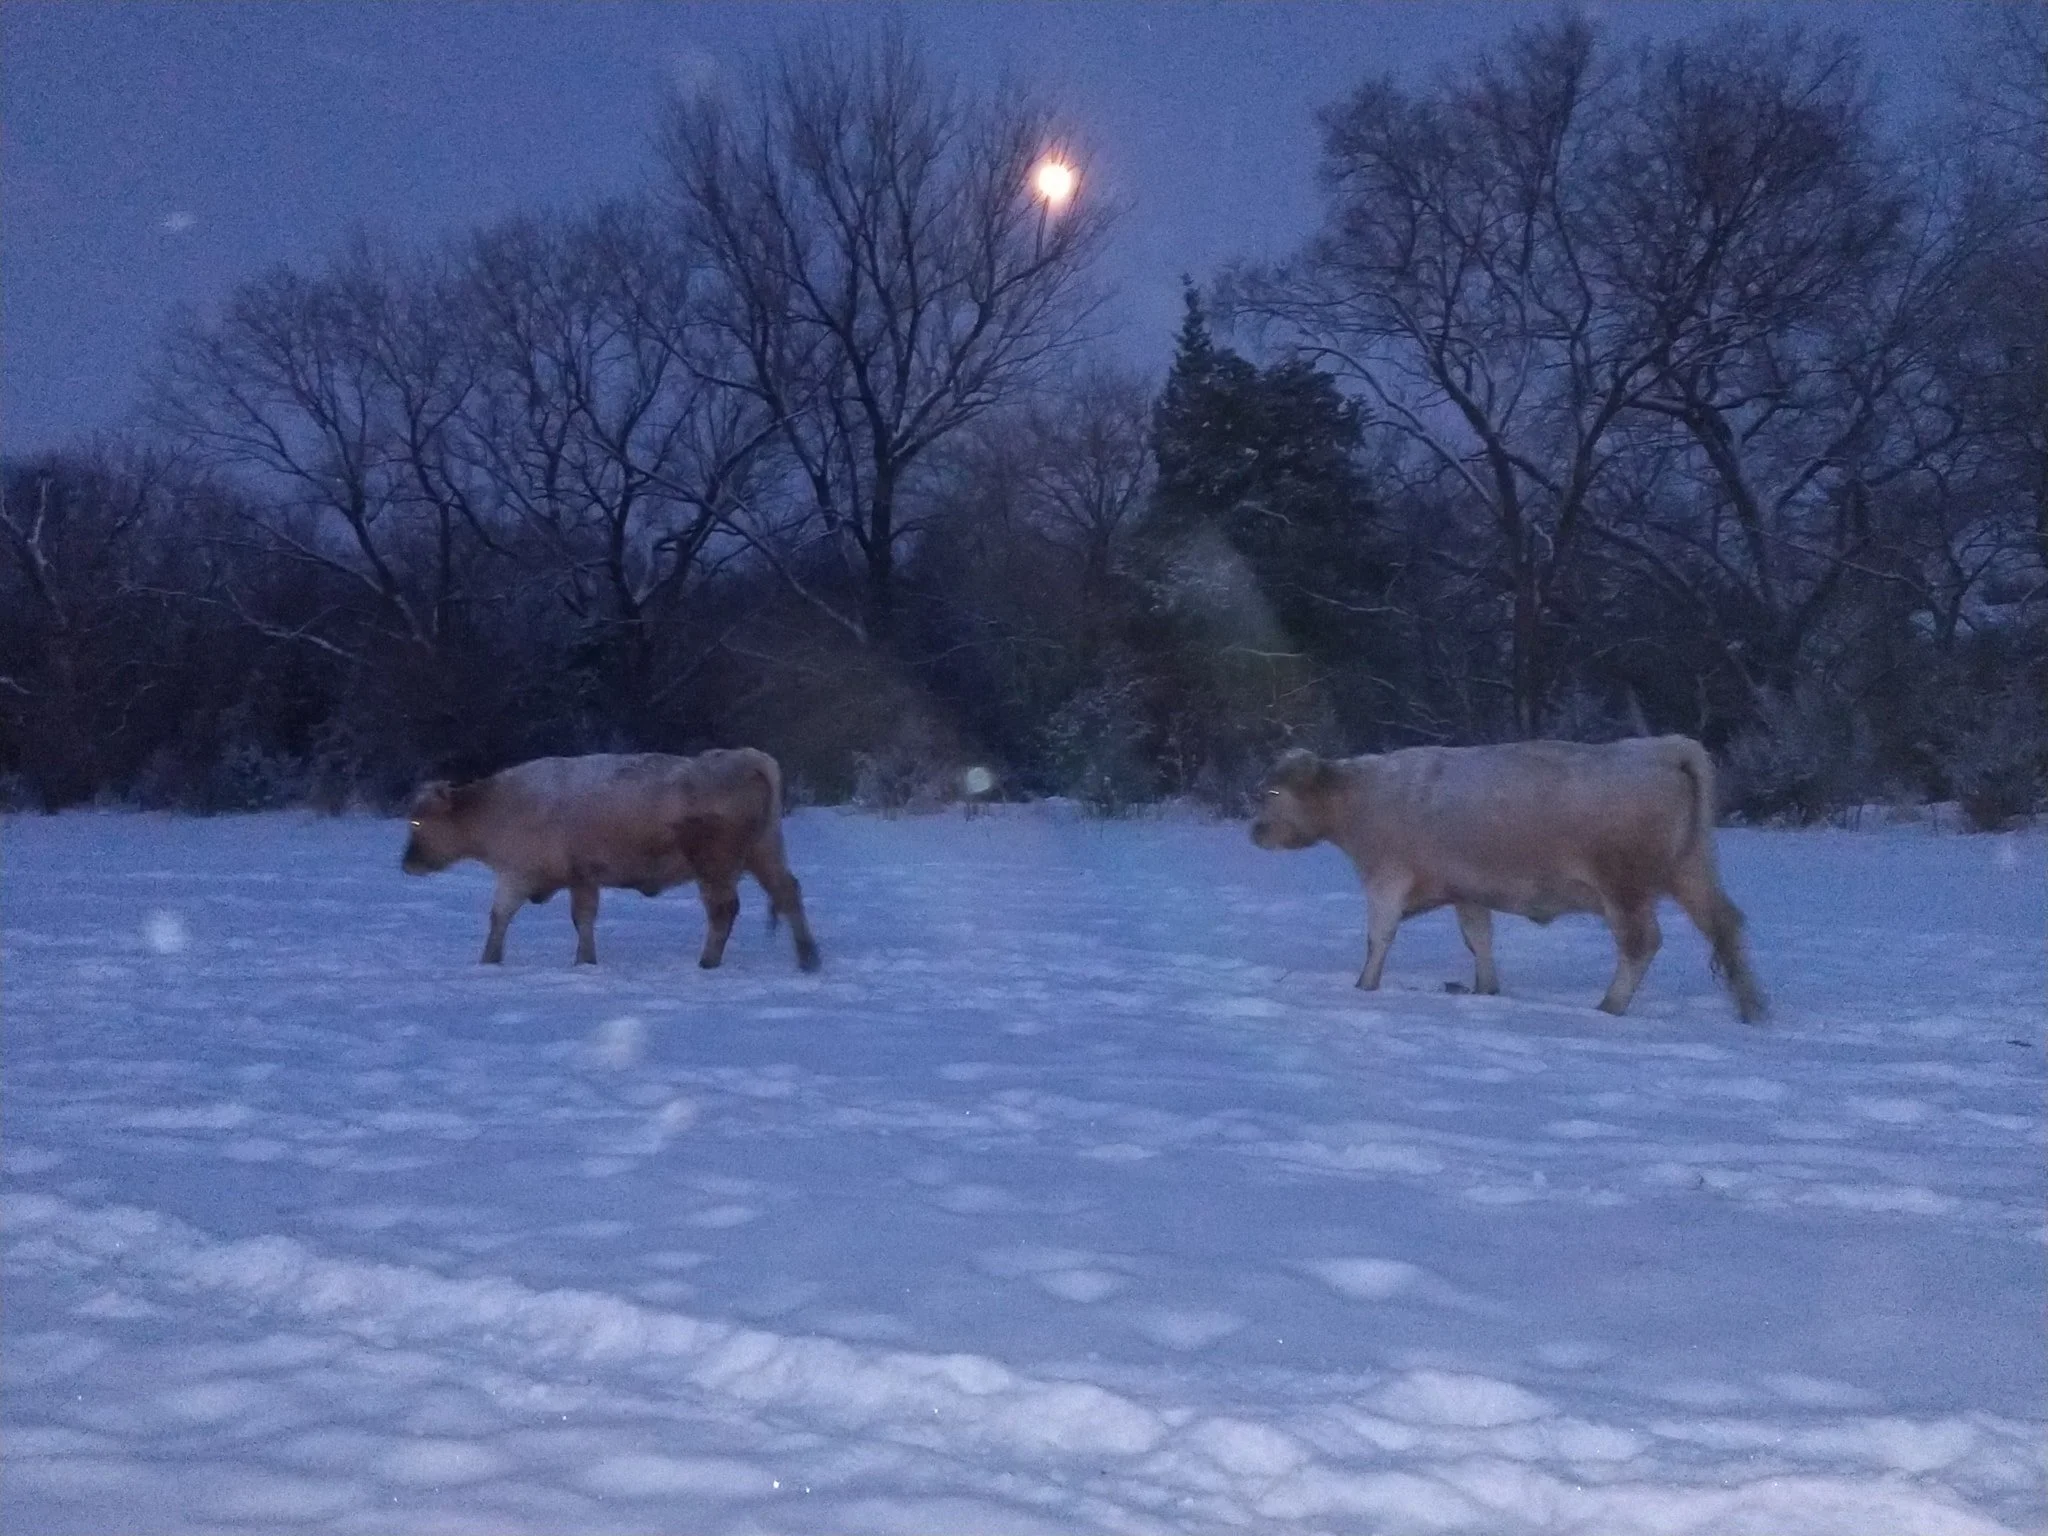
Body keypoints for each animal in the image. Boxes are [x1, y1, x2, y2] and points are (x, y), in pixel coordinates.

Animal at [400, 748, 820, 973]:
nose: (406, 863)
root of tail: (745, 758)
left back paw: (707, 962)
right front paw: (490, 960)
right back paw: (807, 958)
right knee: (788, 893)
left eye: (417, 820)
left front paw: (582, 960)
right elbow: (502, 916)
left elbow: (573, 919)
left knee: (723, 910)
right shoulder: (538, 877)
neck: (499, 804)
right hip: (764, 854)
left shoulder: (548, 875)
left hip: (715, 868)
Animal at [1248, 736, 1766, 1022]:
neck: (1360, 795)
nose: (1253, 831)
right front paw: (1485, 989)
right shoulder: (1465, 888)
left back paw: (1609, 1007)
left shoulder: (1386, 876)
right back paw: (1752, 1010)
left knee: (1641, 944)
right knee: (1726, 925)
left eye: (1271, 793)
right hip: (1691, 871)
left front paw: (1363, 987)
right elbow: (1479, 938)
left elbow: (1379, 936)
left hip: (1626, 887)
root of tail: (1662, 747)